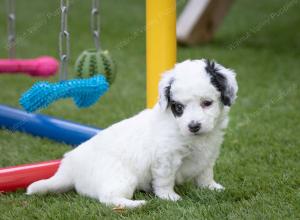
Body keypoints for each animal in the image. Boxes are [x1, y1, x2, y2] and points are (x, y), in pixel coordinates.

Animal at [27, 58, 239, 208]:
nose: (193, 126)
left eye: (207, 103)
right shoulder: (165, 158)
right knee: (108, 198)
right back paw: (137, 204)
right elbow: (165, 179)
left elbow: (205, 173)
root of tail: (69, 168)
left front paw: (211, 187)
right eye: (178, 107)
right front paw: (169, 197)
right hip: (121, 178)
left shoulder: (208, 153)